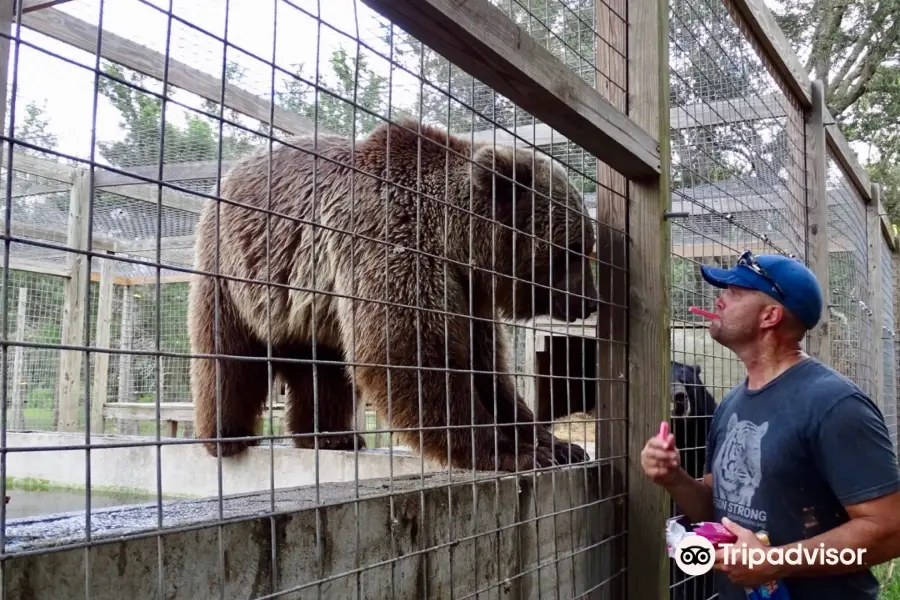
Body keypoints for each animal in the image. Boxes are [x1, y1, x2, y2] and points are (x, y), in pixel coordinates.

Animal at [186, 118, 600, 474]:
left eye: (586, 245)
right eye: (574, 249)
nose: (590, 301)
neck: (456, 241)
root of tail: (229, 174)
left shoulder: (468, 293)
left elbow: (487, 370)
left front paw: (558, 444)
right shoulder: (392, 239)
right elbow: (408, 353)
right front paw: (514, 452)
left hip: (308, 308)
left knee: (322, 370)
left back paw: (333, 437)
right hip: (233, 271)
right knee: (229, 356)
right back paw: (228, 436)